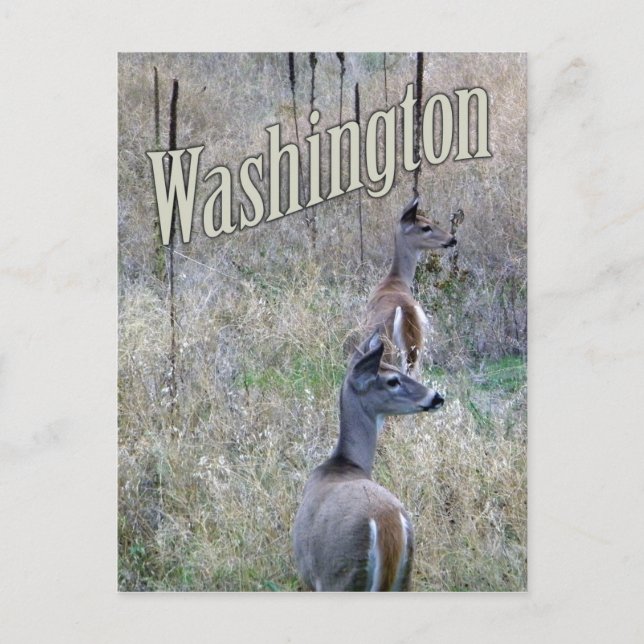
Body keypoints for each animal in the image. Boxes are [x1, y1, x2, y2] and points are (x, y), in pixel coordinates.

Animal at [292, 333, 445, 591]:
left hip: (341, 574)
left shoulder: (310, 577)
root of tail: (387, 521)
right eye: (393, 380)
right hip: (404, 577)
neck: (343, 465)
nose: (437, 397)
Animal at [366, 196, 457, 379]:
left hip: (386, 346)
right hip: (418, 349)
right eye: (426, 226)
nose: (452, 239)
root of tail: (406, 310)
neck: (395, 280)